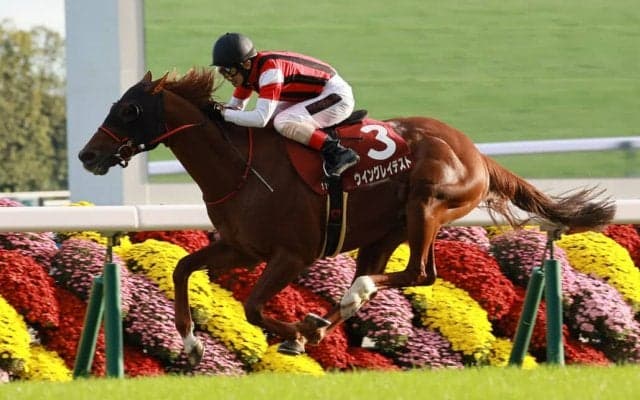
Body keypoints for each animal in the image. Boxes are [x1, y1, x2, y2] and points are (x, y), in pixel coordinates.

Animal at [78, 69, 615, 365]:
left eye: (128, 110)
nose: (87, 155)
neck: (240, 166)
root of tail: (476, 152)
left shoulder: (291, 255)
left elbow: (251, 307)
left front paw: (293, 332)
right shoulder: (240, 247)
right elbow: (182, 268)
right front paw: (190, 343)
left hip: (428, 204)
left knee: (419, 273)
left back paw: (341, 304)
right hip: (384, 232)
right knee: (394, 274)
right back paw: (329, 317)